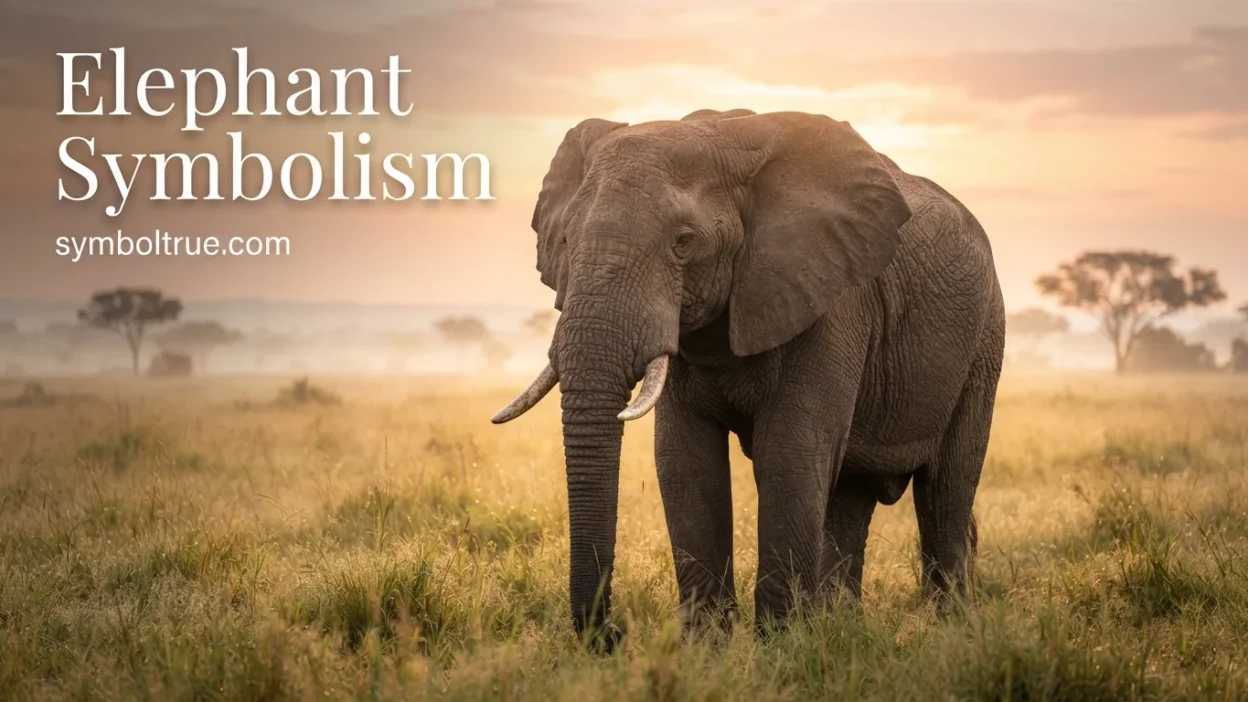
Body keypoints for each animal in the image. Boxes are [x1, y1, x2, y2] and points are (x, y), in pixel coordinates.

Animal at [492, 108, 1005, 649]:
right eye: (565, 240)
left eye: (683, 243)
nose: (614, 634)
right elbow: (684, 460)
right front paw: (707, 651)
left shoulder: (832, 299)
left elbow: (790, 451)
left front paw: (780, 646)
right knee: (851, 493)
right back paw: (843, 630)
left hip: (984, 340)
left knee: (946, 488)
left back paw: (949, 631)